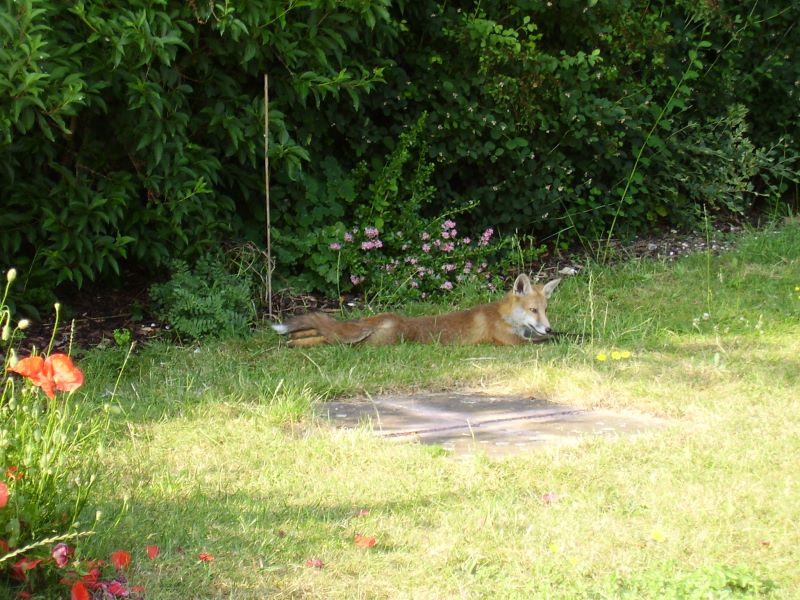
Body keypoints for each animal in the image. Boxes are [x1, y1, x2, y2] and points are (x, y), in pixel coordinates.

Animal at [272, 274, 560, 346]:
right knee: (331, 340)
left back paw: (294, 340)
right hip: (373, 344)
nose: (548, 327)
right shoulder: (513, 342)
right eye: (533, 310)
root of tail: (392, 318)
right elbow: (547, 343)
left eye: (546, 310)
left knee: (322, 334)